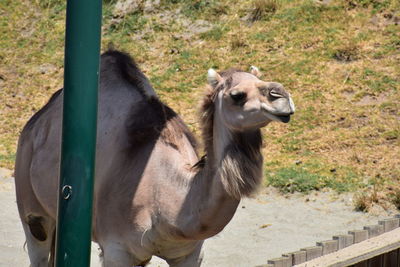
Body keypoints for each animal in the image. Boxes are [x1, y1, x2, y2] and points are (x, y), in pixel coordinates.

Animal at [14, 50, 294, 267]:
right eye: (237, 95)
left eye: (262, 79)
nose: (282, 95)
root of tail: (35, 123)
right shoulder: (116, 251)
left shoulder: (191, 253)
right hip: (30, 202)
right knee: (38, 244)